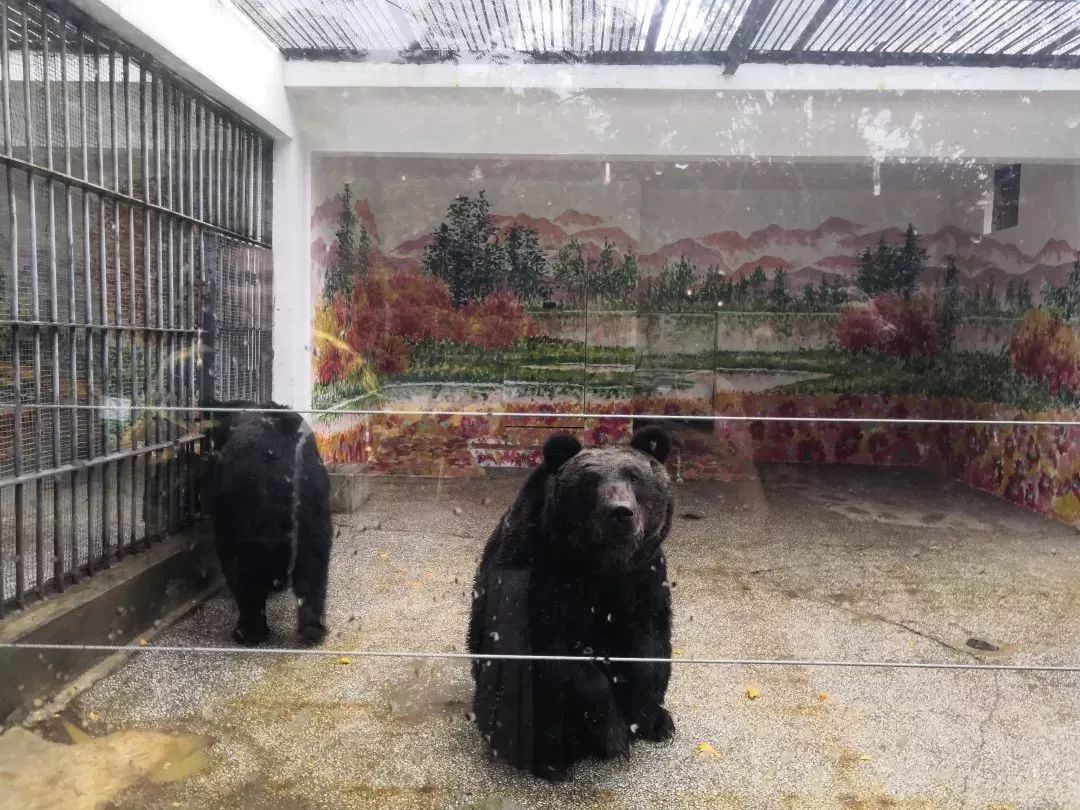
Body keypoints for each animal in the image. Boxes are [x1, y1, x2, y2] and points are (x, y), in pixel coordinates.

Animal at [200, 400, 333, 646]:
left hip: (246, 518)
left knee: (243, 572)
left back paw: (248, 631)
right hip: (314, 515)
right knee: (314, 569)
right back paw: (312, 629)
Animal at [467, 426, 676, 781]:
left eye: (634, 477)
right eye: (590, 480)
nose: (620, 512)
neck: (599, 564)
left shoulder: (642, 576)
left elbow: (649, 642)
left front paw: (647, 717)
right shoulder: (542, 572)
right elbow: (558, 654)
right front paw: (615, 733)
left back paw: (664, 722)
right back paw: (551, 761)